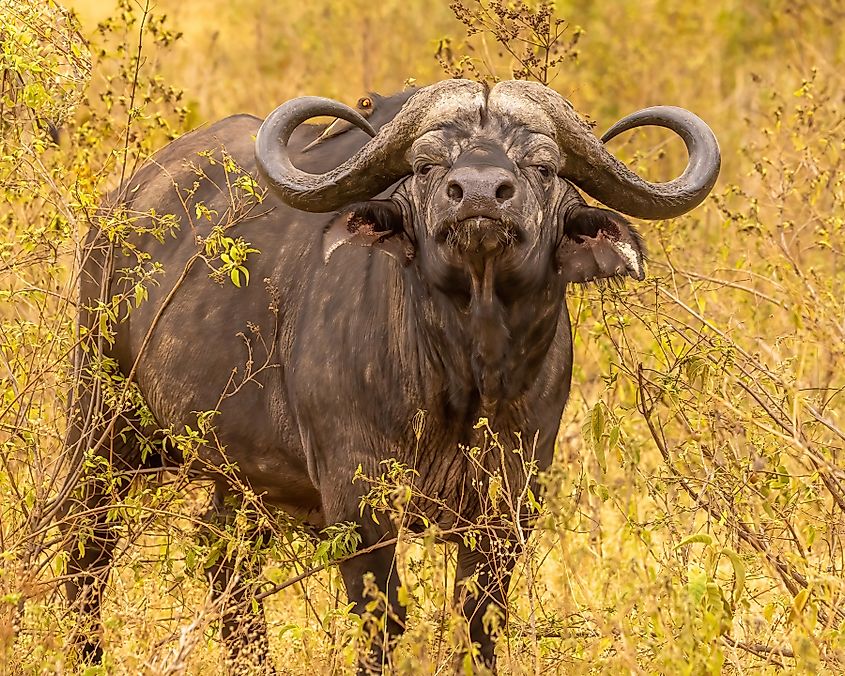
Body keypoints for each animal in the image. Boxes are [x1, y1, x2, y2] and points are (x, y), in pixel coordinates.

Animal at [64, 79, 719, 673]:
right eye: (428, 165)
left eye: (542, 165)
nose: (478, 193)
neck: (464, 374)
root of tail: (122, 207)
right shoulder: (357, 499)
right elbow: (384, 619)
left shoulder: (509, 505)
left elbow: (479, 620)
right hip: (104, 423)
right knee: (88, 542)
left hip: (242, 476)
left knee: (224, 555)